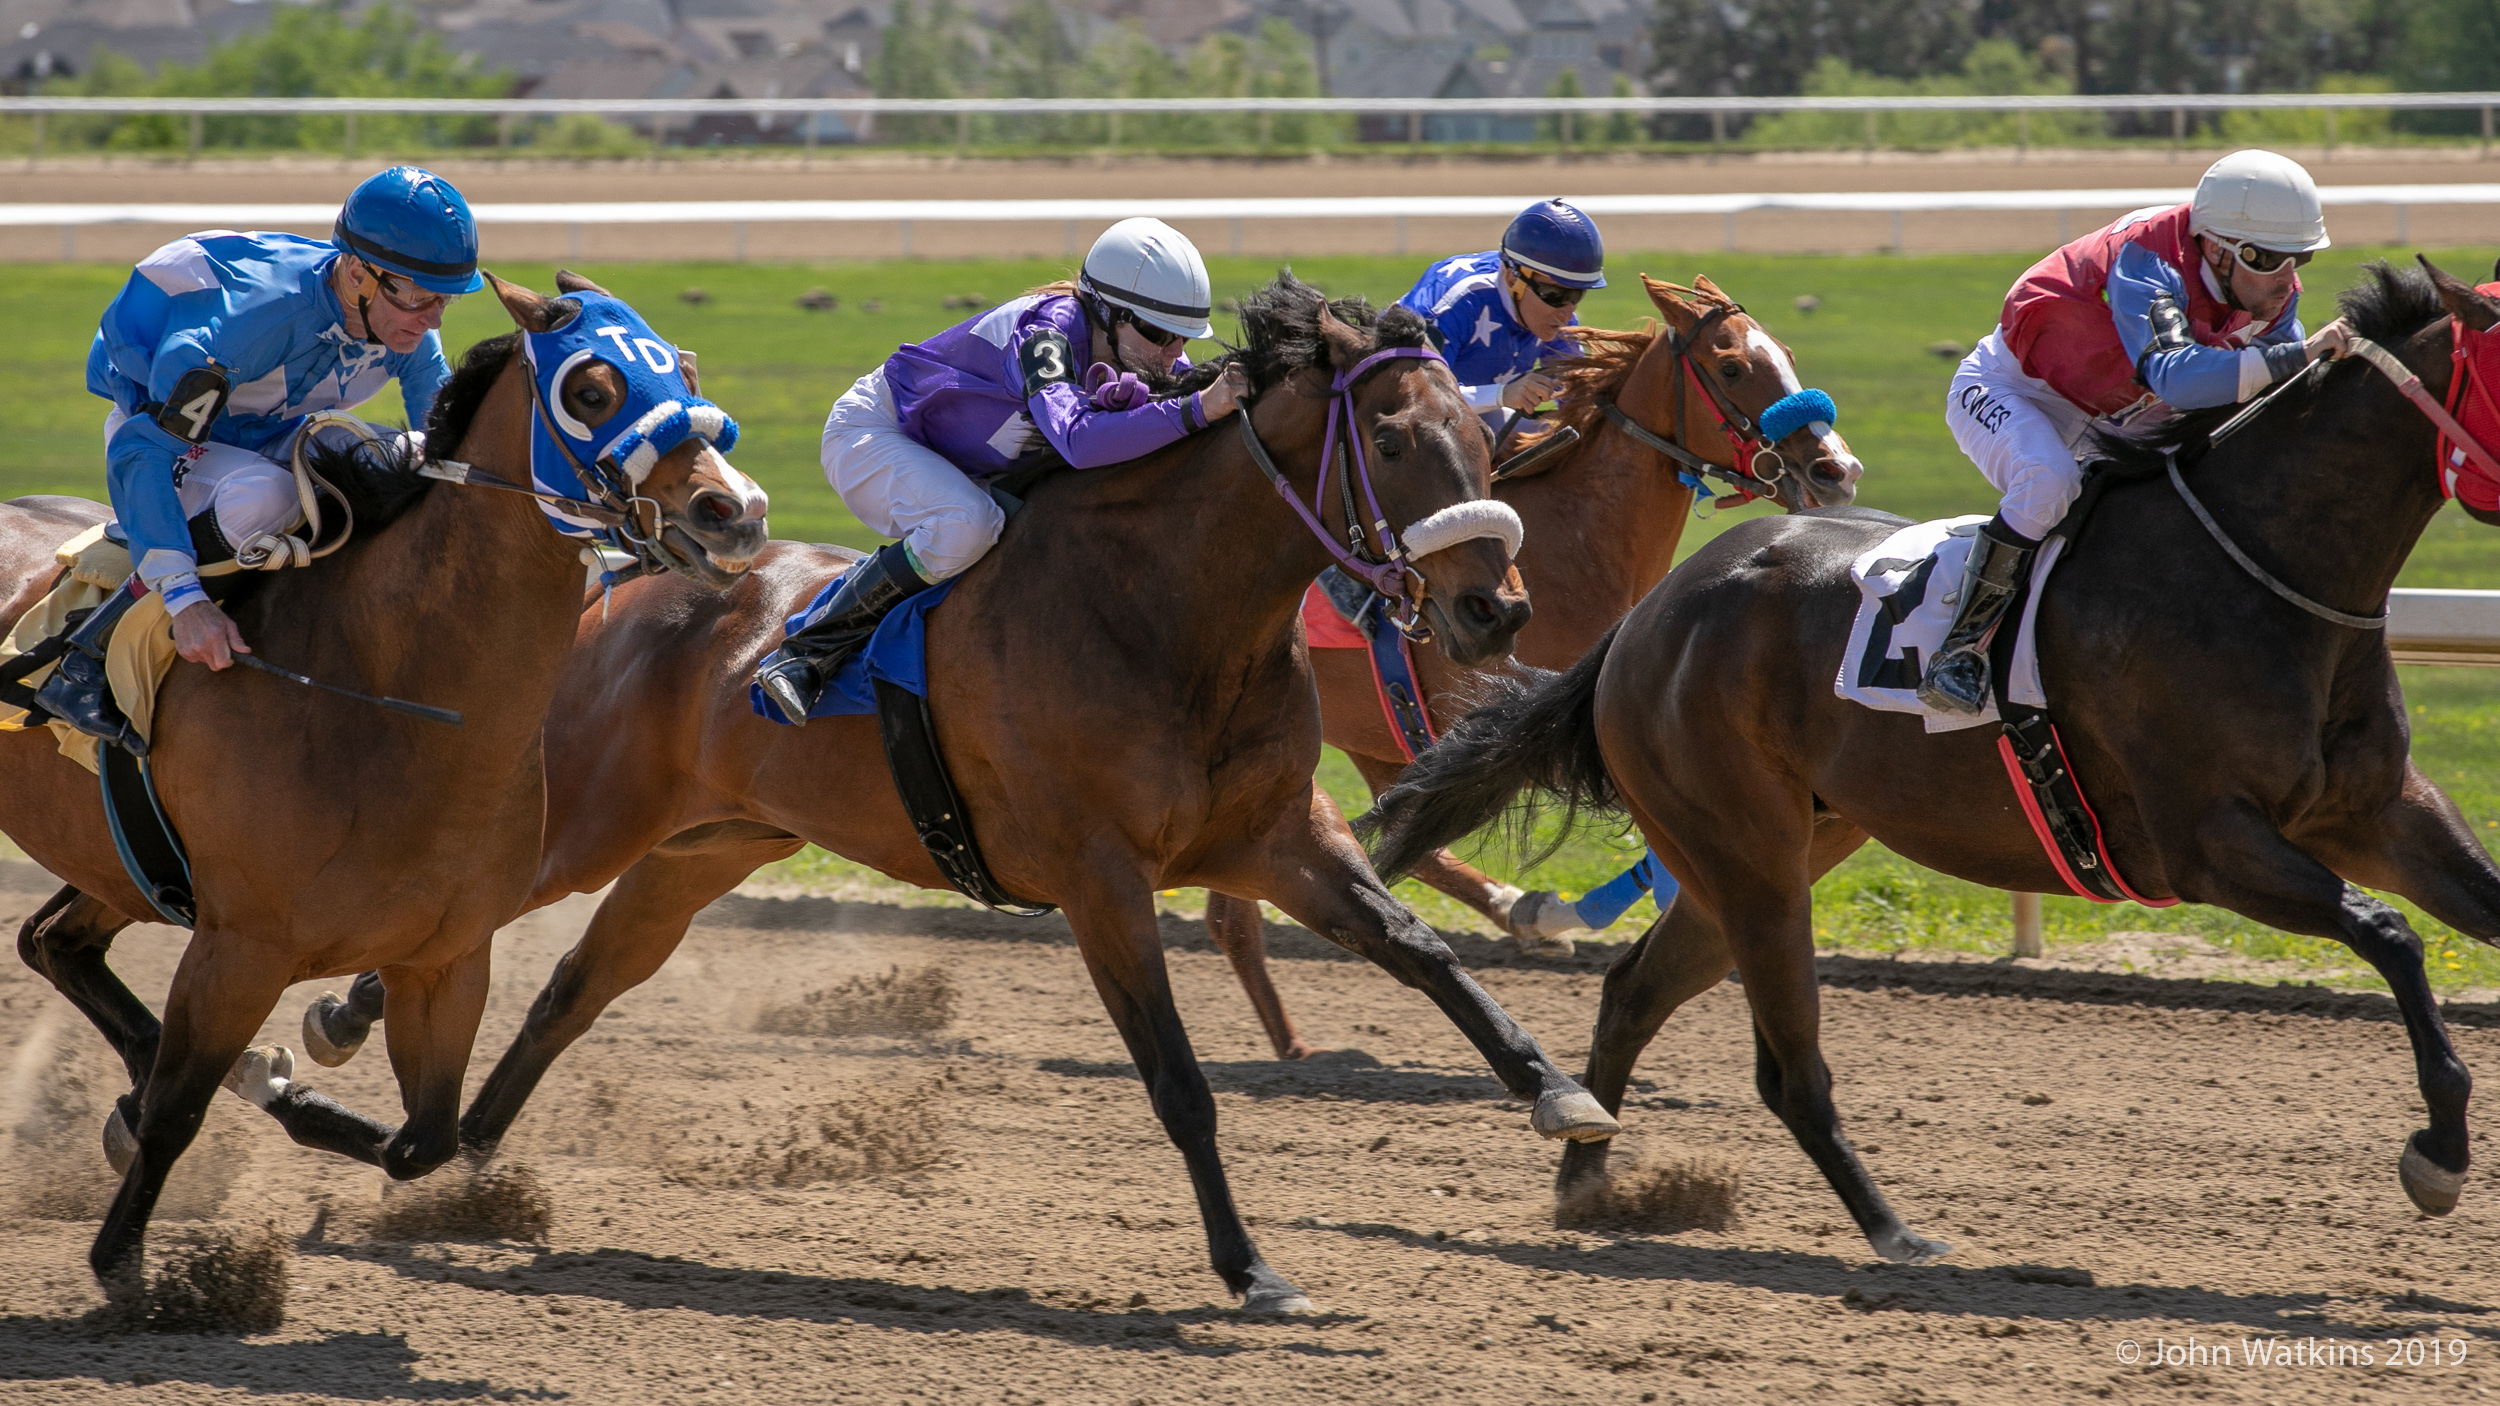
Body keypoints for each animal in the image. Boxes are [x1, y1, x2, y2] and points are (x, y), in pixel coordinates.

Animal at [0, 270, 769, 1295]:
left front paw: (280, 1089)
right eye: (592, 389)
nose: (739, 511)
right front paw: (127, 1264)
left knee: (54, 944)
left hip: (119, 865)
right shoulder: (239, 947)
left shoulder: (445, 957)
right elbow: (176, 1111)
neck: (393, 700)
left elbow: (424, 1141)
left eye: (683, 367)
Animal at [305, 273, 1618, 1314]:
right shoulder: (1098, 875)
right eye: (1392, 443)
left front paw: (1559, 1094)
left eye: (1482, 438)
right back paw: (344, 1033)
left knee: (572, 987)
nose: (1494, 610)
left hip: (702, 848)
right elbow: (1178, 1082)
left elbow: (1418, 949)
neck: (1170, 611)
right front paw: (1253, 1270)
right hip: (589, 813)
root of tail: (625, 578)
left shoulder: (1278, 833)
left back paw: (463, 1151)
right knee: (476, 914)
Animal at [1361, 258, 2500, 1266]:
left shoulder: (2376, 810)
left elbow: (2462, 908)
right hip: (1748, 857)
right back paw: (1894, 1233)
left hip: (1780, 848)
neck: (2262, 568)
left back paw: (1590, 1177)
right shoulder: (2208, 843)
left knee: (1636, 988)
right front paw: (2435, 1156)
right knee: (1788, 1071)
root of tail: (1647, 619)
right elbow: (2389, 933)